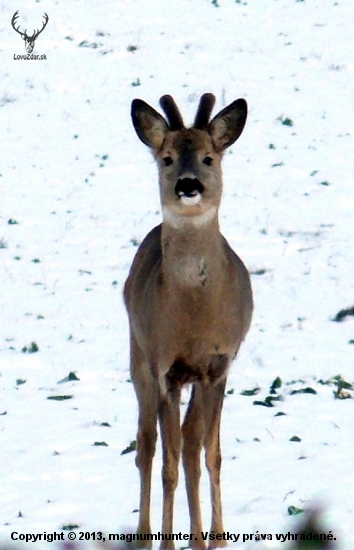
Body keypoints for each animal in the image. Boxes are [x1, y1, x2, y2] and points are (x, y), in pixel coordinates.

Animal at [123, 92, 253, 548]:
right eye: (166, 158)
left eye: (208, 157)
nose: (188, 185)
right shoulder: (167, 369)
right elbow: (169, 462)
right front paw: (168, 538)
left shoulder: (218, 367)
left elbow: (209, 454)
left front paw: (214, 536)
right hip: (138, 357)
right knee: (145, 445)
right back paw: (145, 535)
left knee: (193, 445)